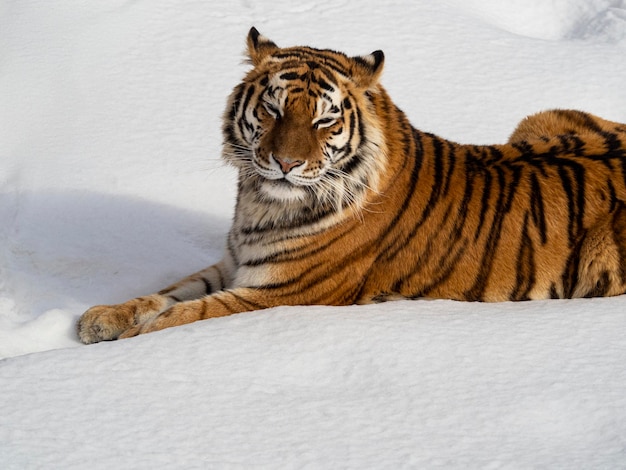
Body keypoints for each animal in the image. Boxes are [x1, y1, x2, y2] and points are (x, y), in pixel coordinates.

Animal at [77, 27, 624, 344]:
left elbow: (189, 313)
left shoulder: (282, 292)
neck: (260, 203)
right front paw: (102, 317)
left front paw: (135, 338)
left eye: (324, 121)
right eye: (273, 109)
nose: (285, 163)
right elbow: (167, 292)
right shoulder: (235, 263)